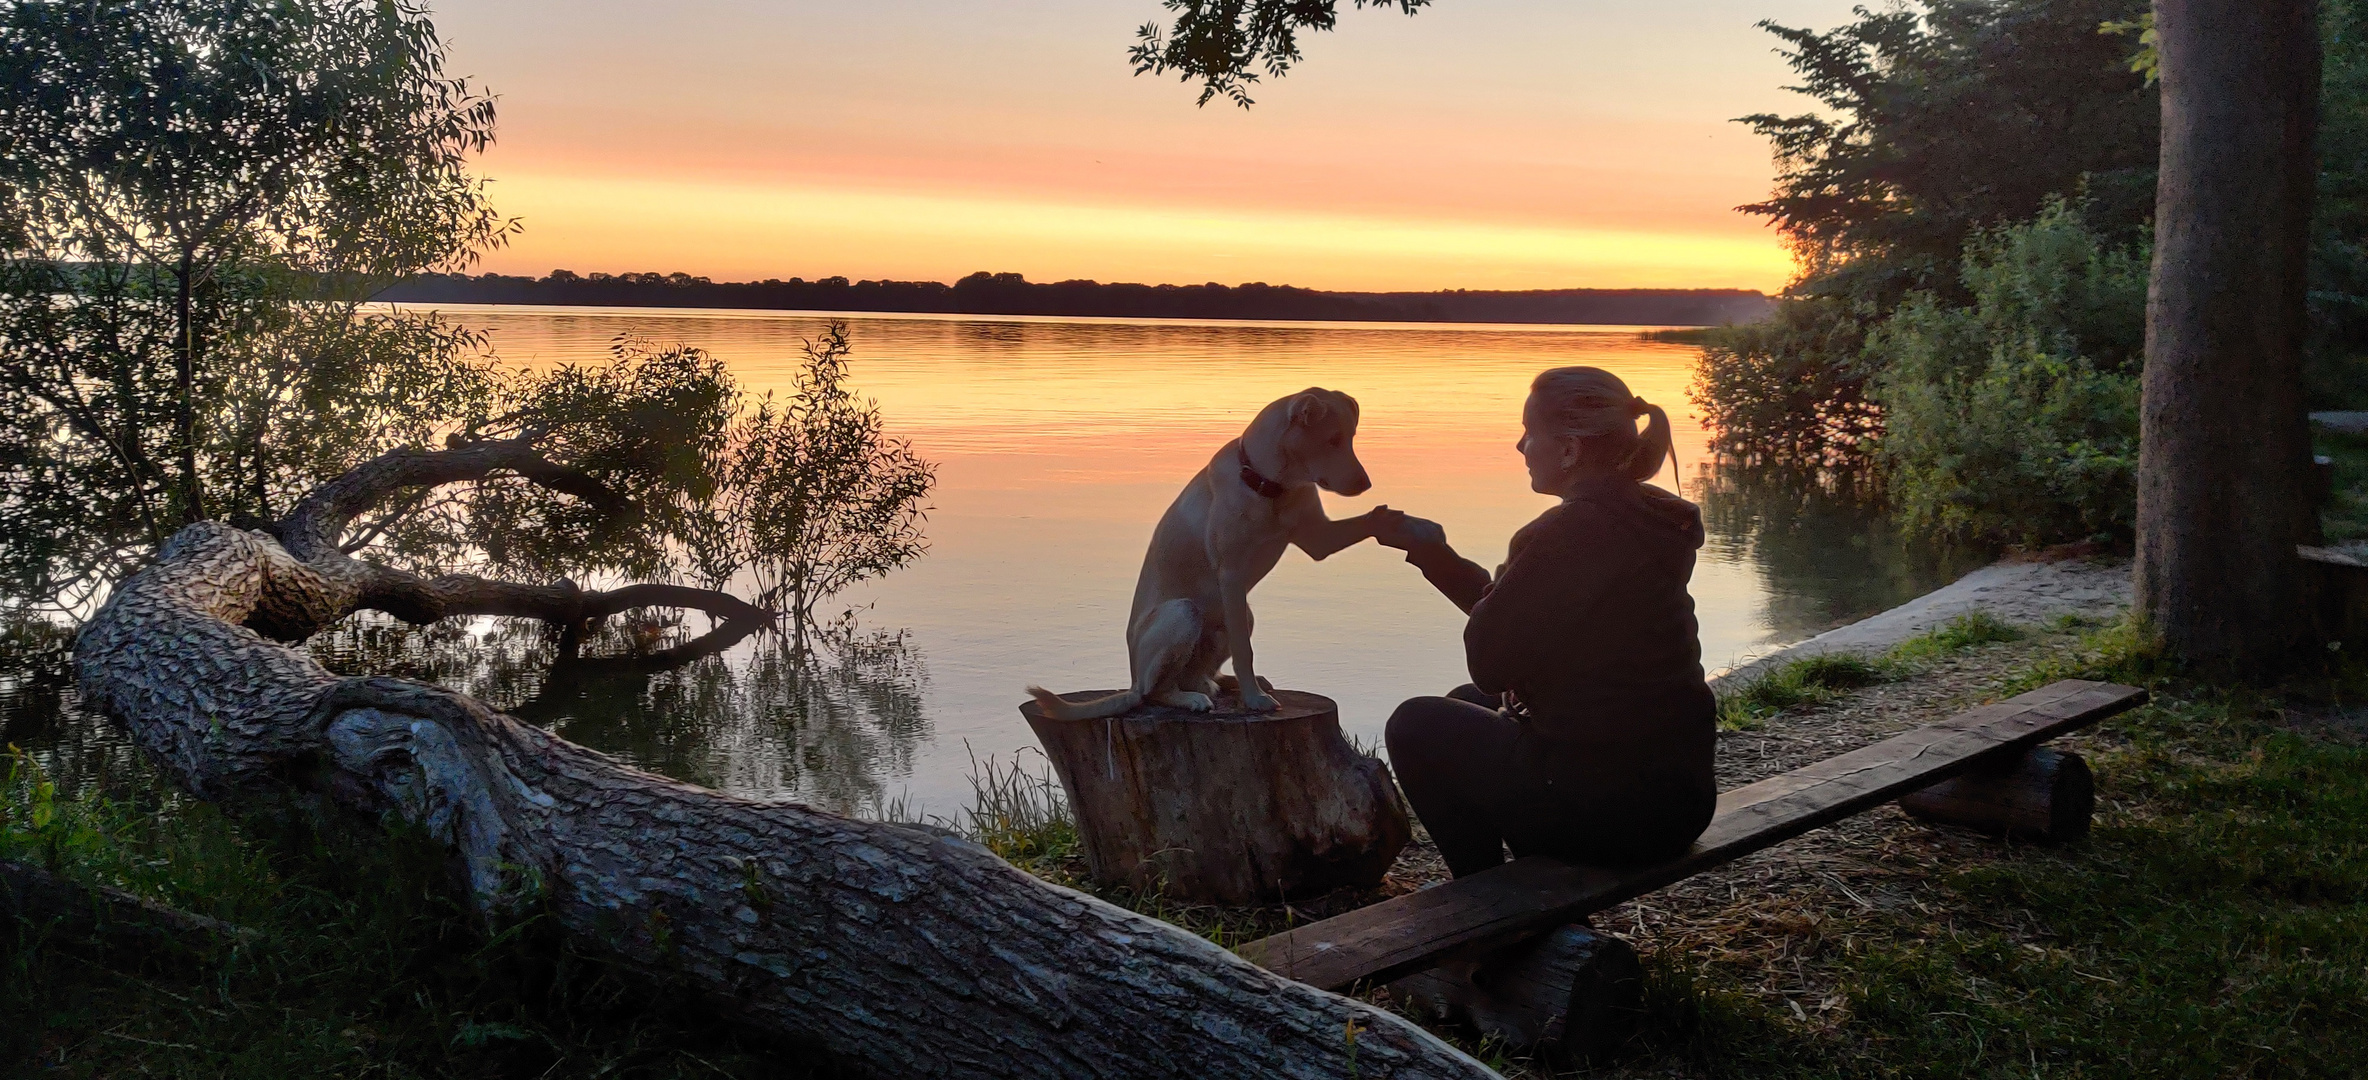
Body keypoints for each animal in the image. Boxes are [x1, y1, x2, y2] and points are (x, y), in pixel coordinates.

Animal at [1022, 388, 1382, 715]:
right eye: (1333, 440)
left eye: (1350, 438)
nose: (1366, 484)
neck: (1269, 486)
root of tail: (1132, 680)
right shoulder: (1232, 575)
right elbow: (1244, 652)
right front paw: (1254, 700)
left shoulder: (1320, 540)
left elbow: (1367, 523)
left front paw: (1389, 519)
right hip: (1183, 612)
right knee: (1153, 692)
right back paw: (1193, 699)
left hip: (1239, 615)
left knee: (1196, 676)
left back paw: (1220, 685)